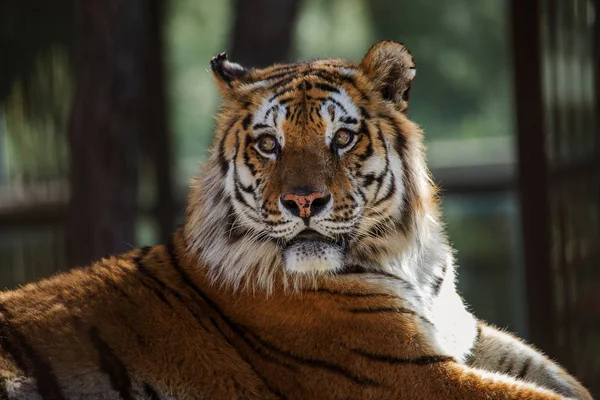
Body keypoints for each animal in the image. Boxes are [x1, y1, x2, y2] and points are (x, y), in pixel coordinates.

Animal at [0, 40, 592, 400]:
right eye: (269, 144)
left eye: (343, 137)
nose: (304, 203)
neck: (408, 262)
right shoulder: (409, 375)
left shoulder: (465, 337)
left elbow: (563, 379)